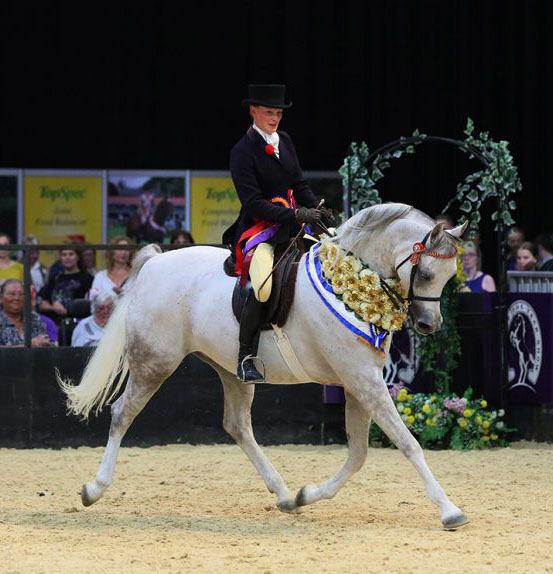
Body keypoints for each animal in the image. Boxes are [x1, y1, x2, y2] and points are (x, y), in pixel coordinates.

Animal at [60, 202, 468, 532]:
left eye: (451, 276)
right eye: (427, 274)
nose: (428, 325)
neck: (348, 285)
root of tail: (155, 263)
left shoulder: (358, 382)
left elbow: (359, 455)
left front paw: (307, 494)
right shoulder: (362, 380)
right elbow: (407, 442)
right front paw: (450, 510)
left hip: (230, 369)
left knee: (237, 425)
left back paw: (285, 494)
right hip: (154, 362)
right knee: (122, 414)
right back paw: (93, 489)